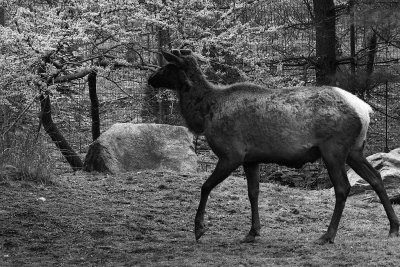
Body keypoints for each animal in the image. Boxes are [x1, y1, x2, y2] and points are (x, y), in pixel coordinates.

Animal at [148, 49, 398, 244]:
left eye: (168, 66)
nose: (150, 78)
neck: (204, 113)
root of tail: (366, 111)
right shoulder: (251, 159)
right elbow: (253, 193)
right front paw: (252, 232)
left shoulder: (231, 154)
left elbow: (205, 186)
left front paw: (199, 229)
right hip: (355, 150)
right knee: (376, 177)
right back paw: (393, 228)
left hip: (333, 149)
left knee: (343, 187)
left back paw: (327, 235)